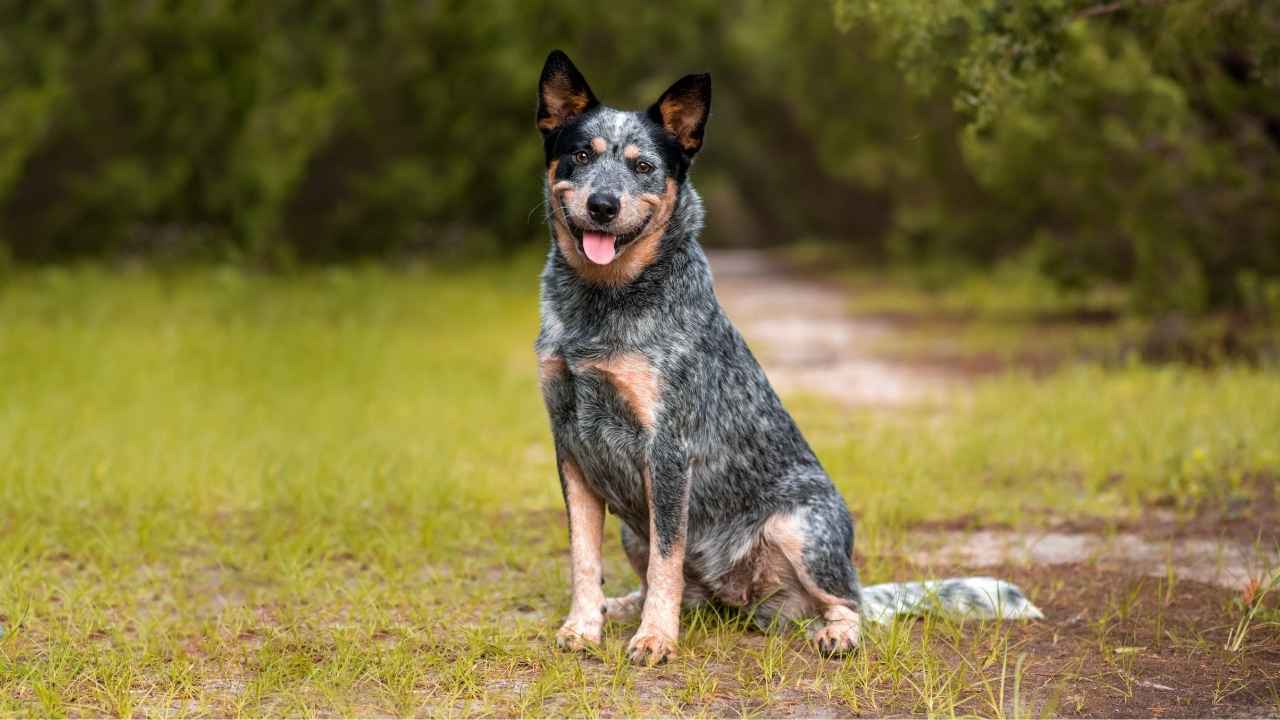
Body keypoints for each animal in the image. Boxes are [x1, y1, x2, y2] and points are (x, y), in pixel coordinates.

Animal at [529, 50, 1039, 666]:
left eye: (644, 166)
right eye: (582, 155)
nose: (603, 205)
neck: (600, 305)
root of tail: (735, 599)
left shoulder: (668, 451)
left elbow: (667, 559)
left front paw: (655, 640)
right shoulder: (570, 444)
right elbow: (585, 557)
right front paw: (583, 627)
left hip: (802, 528)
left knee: (847, 602)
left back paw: (835, 632)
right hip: (635, 528)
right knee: (669, 585)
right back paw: (622, 606)